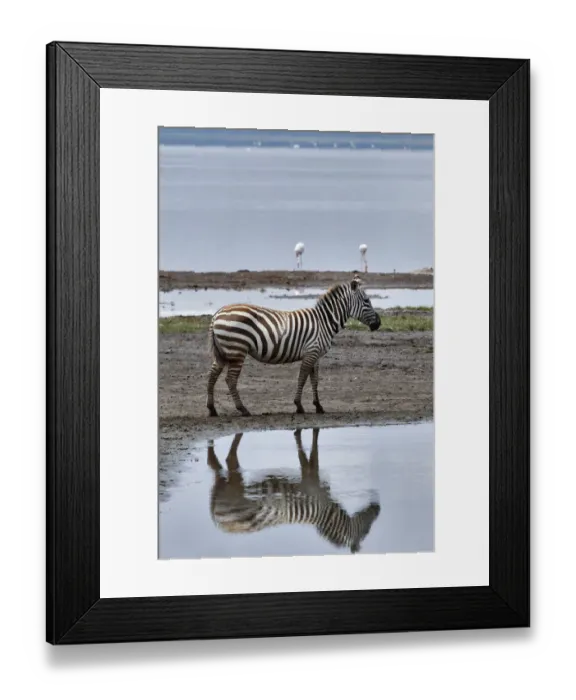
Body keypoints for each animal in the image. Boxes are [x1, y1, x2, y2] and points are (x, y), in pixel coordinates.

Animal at [206, 275, 381, 417]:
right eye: (367, 301)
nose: (378, 324)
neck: (324, 321)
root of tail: (217, 315)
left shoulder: (316, 355)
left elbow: (314, 380)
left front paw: (318, 406)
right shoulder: (311, 352)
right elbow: (302, 378)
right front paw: (299, 406)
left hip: (222, 352)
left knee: (212, 375)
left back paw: (212, 409)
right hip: (237, 350)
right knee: (230, 380)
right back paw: (243, 409)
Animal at [207, 429, 381, 554]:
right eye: (367, 530)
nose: (378, 508)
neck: (326, 512)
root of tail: (219, 522)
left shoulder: (310, 478)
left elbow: (305, 456)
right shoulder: (312, 481)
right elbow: (311, 457)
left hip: (224, 488)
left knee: (215, 467)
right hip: (234, 490)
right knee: (229, 461)